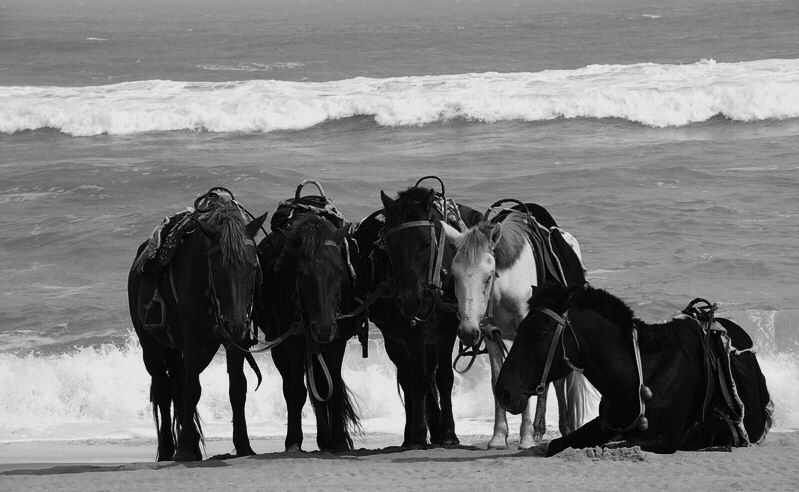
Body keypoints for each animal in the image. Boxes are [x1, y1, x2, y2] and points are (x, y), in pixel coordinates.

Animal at [128, 195, 268, 462]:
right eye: (216, 267)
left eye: (253, 266)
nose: (235, 324)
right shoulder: (192, 337)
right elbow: (192, 389)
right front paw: (182, 449)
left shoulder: (234, 341)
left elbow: (237, 389)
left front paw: (244, 445)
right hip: (152, 347)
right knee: (164, 390)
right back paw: (168, 450)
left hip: (205, 349)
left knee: (177, 383)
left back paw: (192, 445)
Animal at [258, 213, 360, 452]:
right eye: (302, 274)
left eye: (339, 271)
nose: (322, 329)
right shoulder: (293, 340)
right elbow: (296, 390)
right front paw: (293, 441)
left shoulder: (337, 340)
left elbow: (331, 386)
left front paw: (339, 440)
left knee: (321, 384)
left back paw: (326, 440)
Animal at [352, 183, 482, 448]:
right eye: (389, 245)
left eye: (426, 242)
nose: (411, 300)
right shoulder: (410, 333)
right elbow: (418, 381)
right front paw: (420, 434)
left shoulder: (447, 330)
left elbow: (444, 378)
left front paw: (449, 433)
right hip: (395, 340)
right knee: (408, 378)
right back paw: (410, 433)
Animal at [444, 204, 592, 450]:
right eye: (454, 276)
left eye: (488, 276)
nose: (467, 332)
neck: (506, 287)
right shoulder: (490, 336)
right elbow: (497, 381)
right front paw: (498, 437)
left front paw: (525, 439)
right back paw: (540, 430)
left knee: (563, 381)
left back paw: (565, 427)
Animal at [496, 282, 772, 456]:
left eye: (539, 334)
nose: (503, 392)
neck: (641, 374)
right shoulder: (603, 425)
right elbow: (557, 445)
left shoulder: (664, 440)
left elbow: (612, 446)